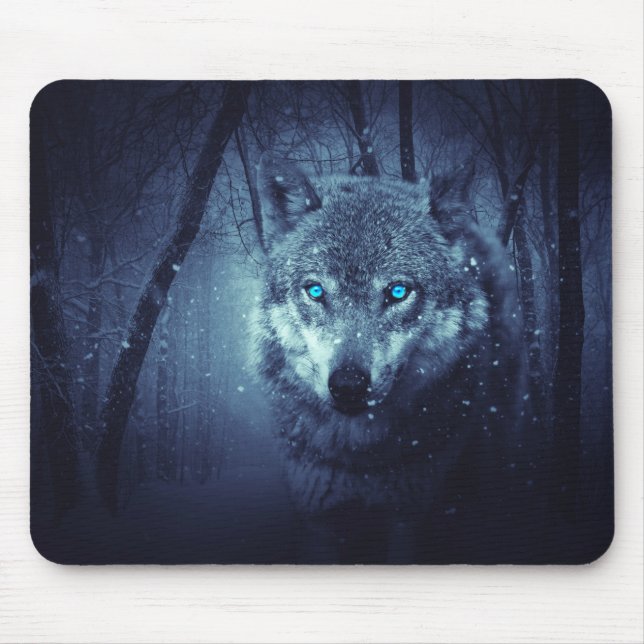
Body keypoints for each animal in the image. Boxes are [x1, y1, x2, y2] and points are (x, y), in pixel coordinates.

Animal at [251, 154, 526, 563]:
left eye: (397, 292)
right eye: (315, 291)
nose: (348, 385)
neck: (361, 458)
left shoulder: (409, 516)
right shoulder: (318, 517)